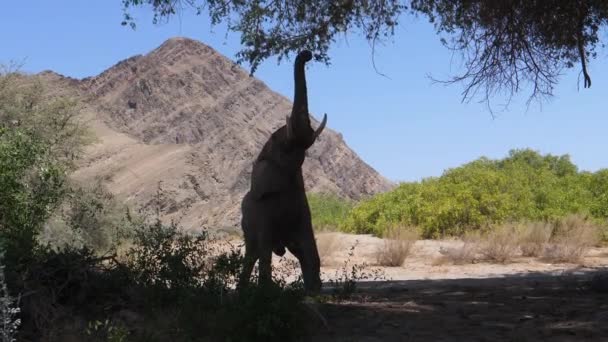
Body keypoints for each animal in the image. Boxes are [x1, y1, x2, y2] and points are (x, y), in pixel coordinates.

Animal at [240, 49, 330, 296]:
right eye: (284, 145)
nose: (307, 54)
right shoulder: (262, 210)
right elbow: (264, 249)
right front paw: (266, 293)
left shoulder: (301, 202)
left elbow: (309, 247)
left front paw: (314, 293)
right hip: (245, 225)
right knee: (253, 253)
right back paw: (242, 292)